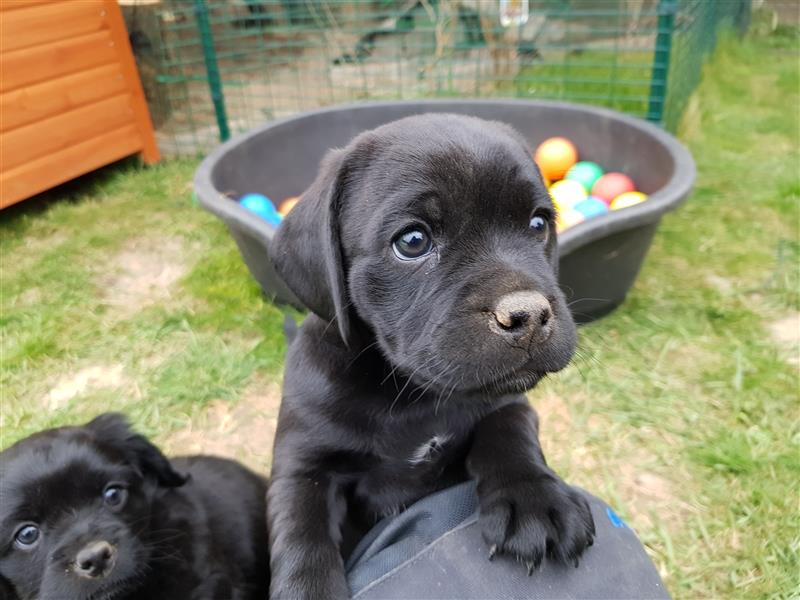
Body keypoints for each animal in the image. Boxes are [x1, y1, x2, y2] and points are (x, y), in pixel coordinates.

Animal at [268, 113, 592, 600]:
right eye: (413, 241)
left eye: (538, 224)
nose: (529, 315)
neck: (410, 395)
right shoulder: (303, 465)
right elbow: (302, 536)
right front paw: (308, 589)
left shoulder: (508, 403)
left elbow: (510, 433)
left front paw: (535, 500)